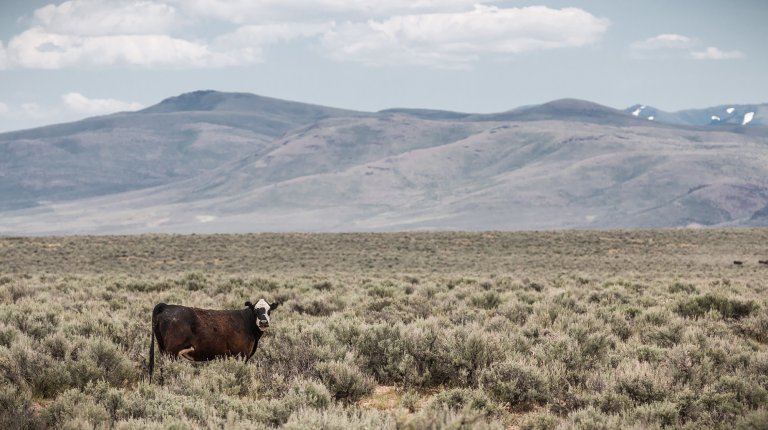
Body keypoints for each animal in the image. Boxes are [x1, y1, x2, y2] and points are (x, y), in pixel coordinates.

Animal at [148, 299, 281, 382]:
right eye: (255, 310)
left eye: (269, 311)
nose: (263, 322)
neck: (246, 322)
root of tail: (167, 306)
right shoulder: (241, 354)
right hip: (170, 352)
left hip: (163, 349)